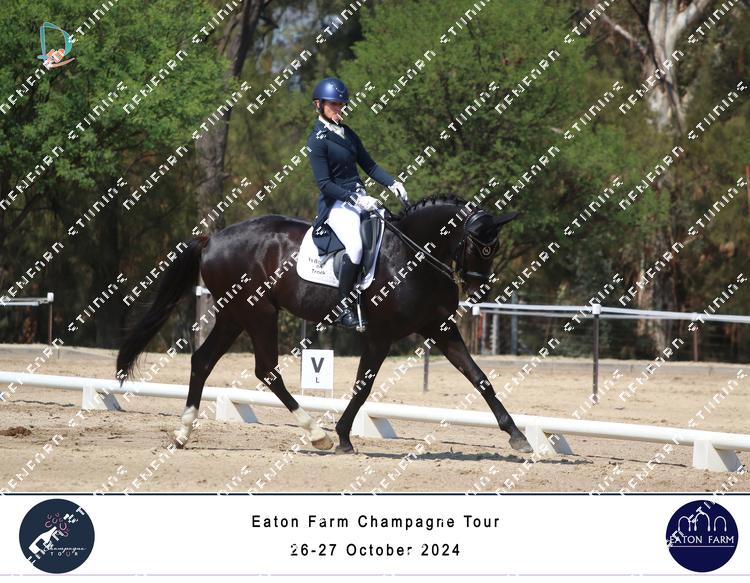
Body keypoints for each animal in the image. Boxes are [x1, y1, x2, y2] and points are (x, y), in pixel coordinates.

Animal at [116, 193, 533, 455]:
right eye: (477, 245)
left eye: (494, 248)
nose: (478, 291)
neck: (411, 256)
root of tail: (212, 238)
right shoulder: (379, 337)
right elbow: (363, 388)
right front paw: (343, 436)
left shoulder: (440, 329)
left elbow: (480, 378)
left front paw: (517, 436)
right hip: (258, 313)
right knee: (267, 371)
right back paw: (317, 434)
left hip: (234, 316)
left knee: (203, 362)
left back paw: (182, 433)